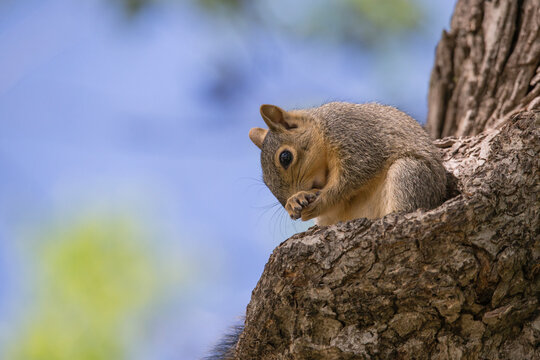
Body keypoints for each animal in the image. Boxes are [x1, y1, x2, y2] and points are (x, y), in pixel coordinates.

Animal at [249, 101, 448, 225]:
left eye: (285, 157)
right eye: (265, 182)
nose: (288, 205)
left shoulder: (355, 139)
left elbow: (351, 178)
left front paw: (318, 200)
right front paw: (294, 201)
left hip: (409, 173)